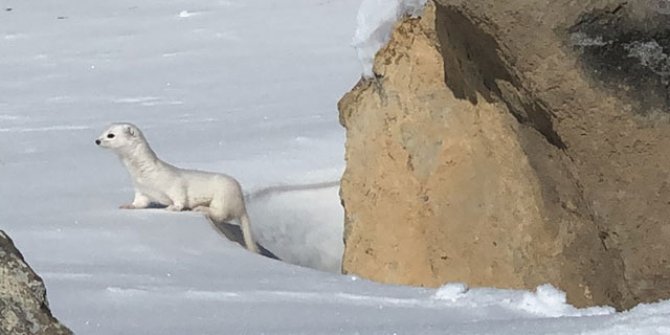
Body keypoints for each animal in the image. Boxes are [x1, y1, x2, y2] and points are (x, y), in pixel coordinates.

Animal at [96, 124, 258, 253]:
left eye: (111, 135)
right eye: (103, 131)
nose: (96, 140)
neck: (143, 175)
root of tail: (241, 201)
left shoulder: (174, 183)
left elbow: (180, 197)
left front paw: (172, 207)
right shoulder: (141, 190)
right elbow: (140, 203)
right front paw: (127, 205)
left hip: (223, 195)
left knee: (221, 213)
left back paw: (200, 208)